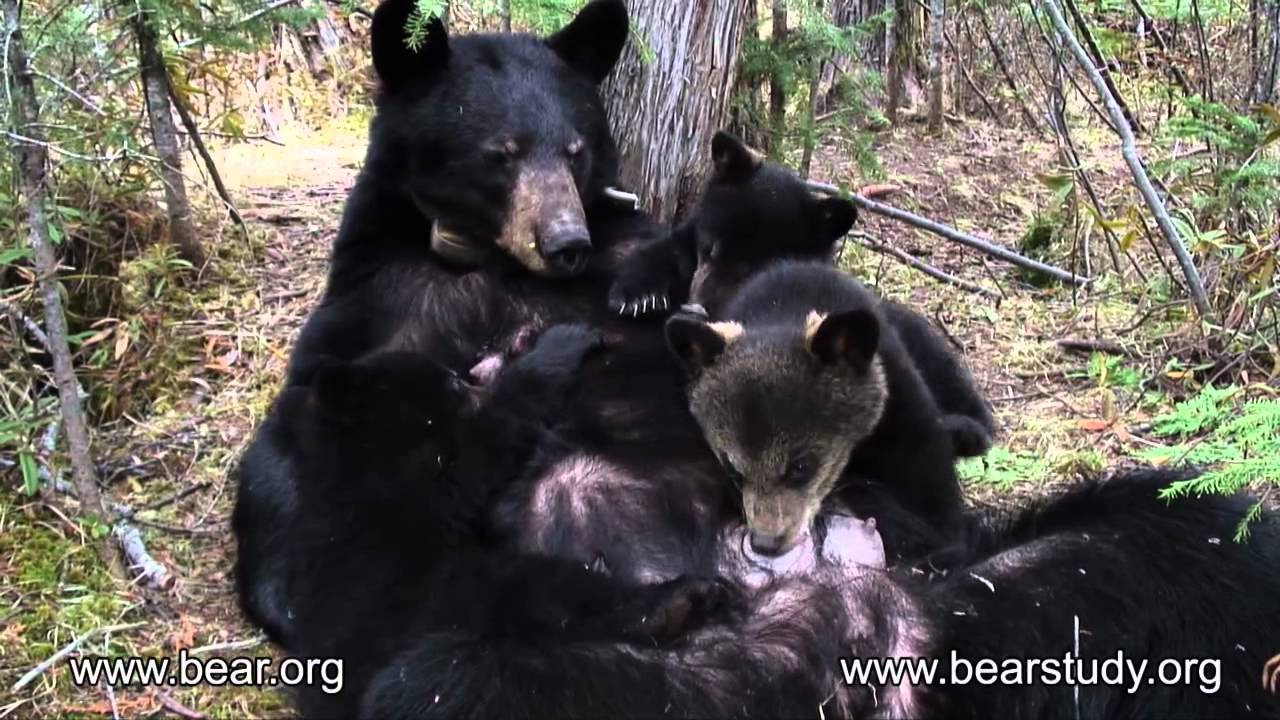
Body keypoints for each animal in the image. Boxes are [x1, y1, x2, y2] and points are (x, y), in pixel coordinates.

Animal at [232, 0, 669, 645]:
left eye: (575, 150)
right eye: (500, 153)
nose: (566, 243)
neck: (492, 259)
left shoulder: (618, 255)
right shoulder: (383, 295)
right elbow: (311, 418)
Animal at [609, 129, 996, 458]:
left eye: (759, 268)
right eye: (712, 247)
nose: (698, 307)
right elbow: (669, 249)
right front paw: (635, 294)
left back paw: (962, 426)